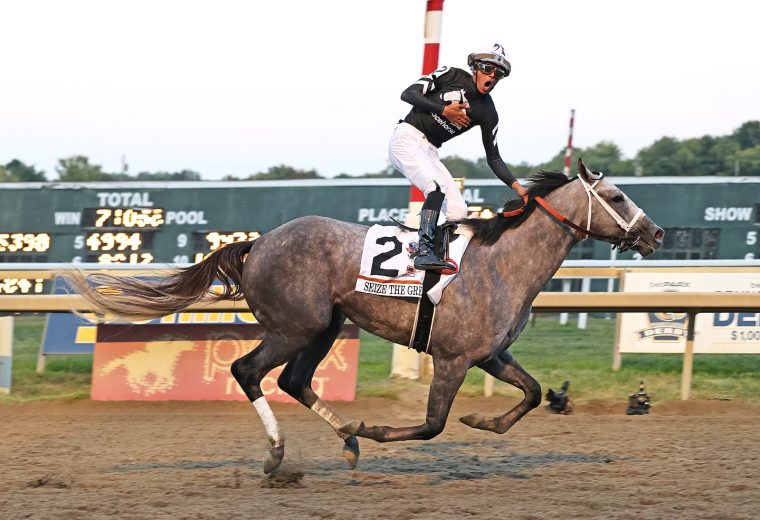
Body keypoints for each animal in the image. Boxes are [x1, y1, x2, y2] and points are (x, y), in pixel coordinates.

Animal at [70, 160, 664, 474]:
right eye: (616, 195)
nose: (656, 232)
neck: (502, 262)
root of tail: (258, 242)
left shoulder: (491, 355)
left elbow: (535, 392)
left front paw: (483, 422)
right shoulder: (453, 358)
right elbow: (432, 424)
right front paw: (376, 428)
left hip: (326, 325)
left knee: (293, 380)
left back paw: (346, 440)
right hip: (297, 325)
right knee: (248, 371)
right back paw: (280, 453)